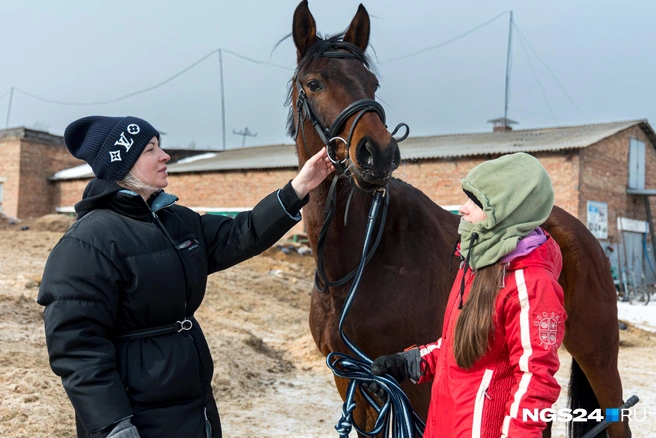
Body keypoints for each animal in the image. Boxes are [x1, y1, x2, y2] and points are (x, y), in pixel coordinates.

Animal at [288, 2, 629, 437]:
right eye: (314, 83)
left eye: (373, 84)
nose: (378, 154)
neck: (360, 262)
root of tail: (587, 239)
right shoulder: (353, 378)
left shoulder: (411, 389)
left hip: (598, 356)